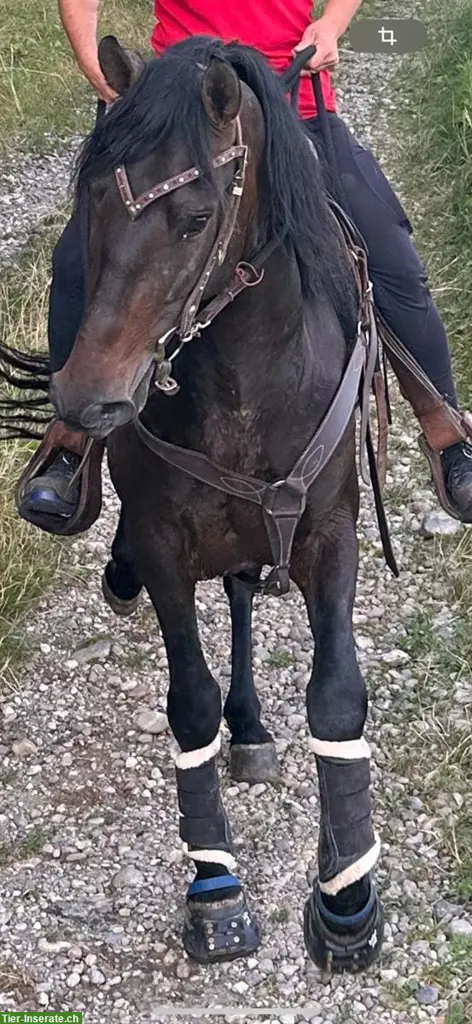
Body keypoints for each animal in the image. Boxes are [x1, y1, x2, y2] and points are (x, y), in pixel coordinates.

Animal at [7, 35, 386, 971]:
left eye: (195, 218)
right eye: (93, 199)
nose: (89, 400)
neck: (249, 378)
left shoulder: (331, 531)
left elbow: (337, 694)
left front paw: (348, 899)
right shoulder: (162, 542)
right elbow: (189, 704)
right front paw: (216, 891)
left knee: (248, 593)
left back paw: (256, 733)